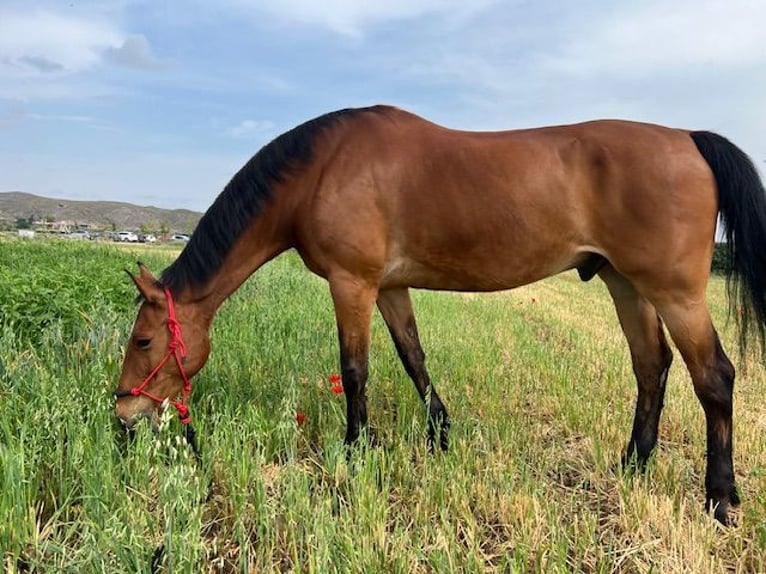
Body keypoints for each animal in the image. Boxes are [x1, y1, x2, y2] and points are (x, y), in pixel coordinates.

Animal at [114, 105, 766, 525]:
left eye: (143, 341)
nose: (123, 417)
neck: (321, 170)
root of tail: (687, 137)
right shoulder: (389, 287)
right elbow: (412, 357)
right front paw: (441, 433)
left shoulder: (353, 284)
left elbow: (355, 369)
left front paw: (355, 451)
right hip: (625, 283)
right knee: (651, 367)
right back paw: (631, 467)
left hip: (675, 293)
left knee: (714, 377)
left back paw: (720, 500)